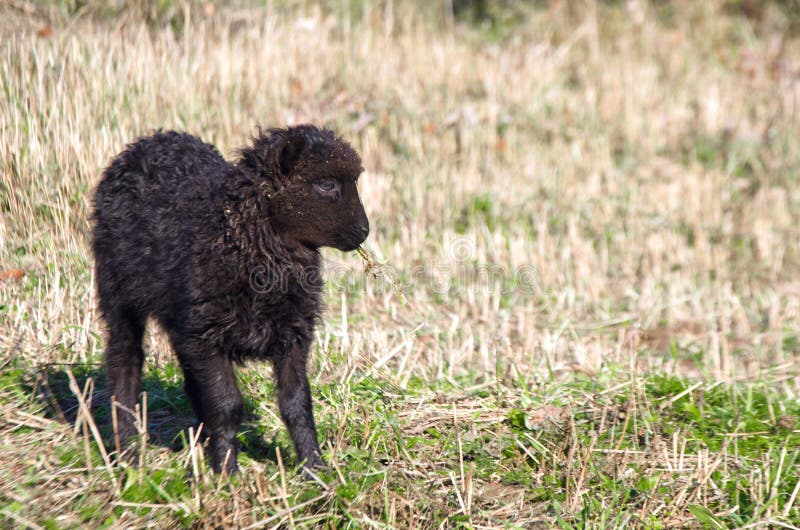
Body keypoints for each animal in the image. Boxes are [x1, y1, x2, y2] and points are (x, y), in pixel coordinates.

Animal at [90, 126, 368, 472]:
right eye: (326, 184)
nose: (364, 231)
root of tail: (147, 142)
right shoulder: (206, 336)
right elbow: (227, 405)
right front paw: (227, 472)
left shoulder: (292, 333)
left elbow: (297, 403)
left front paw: (313, 468)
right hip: (119, 292)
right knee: (124, 360)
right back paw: (127, 453)